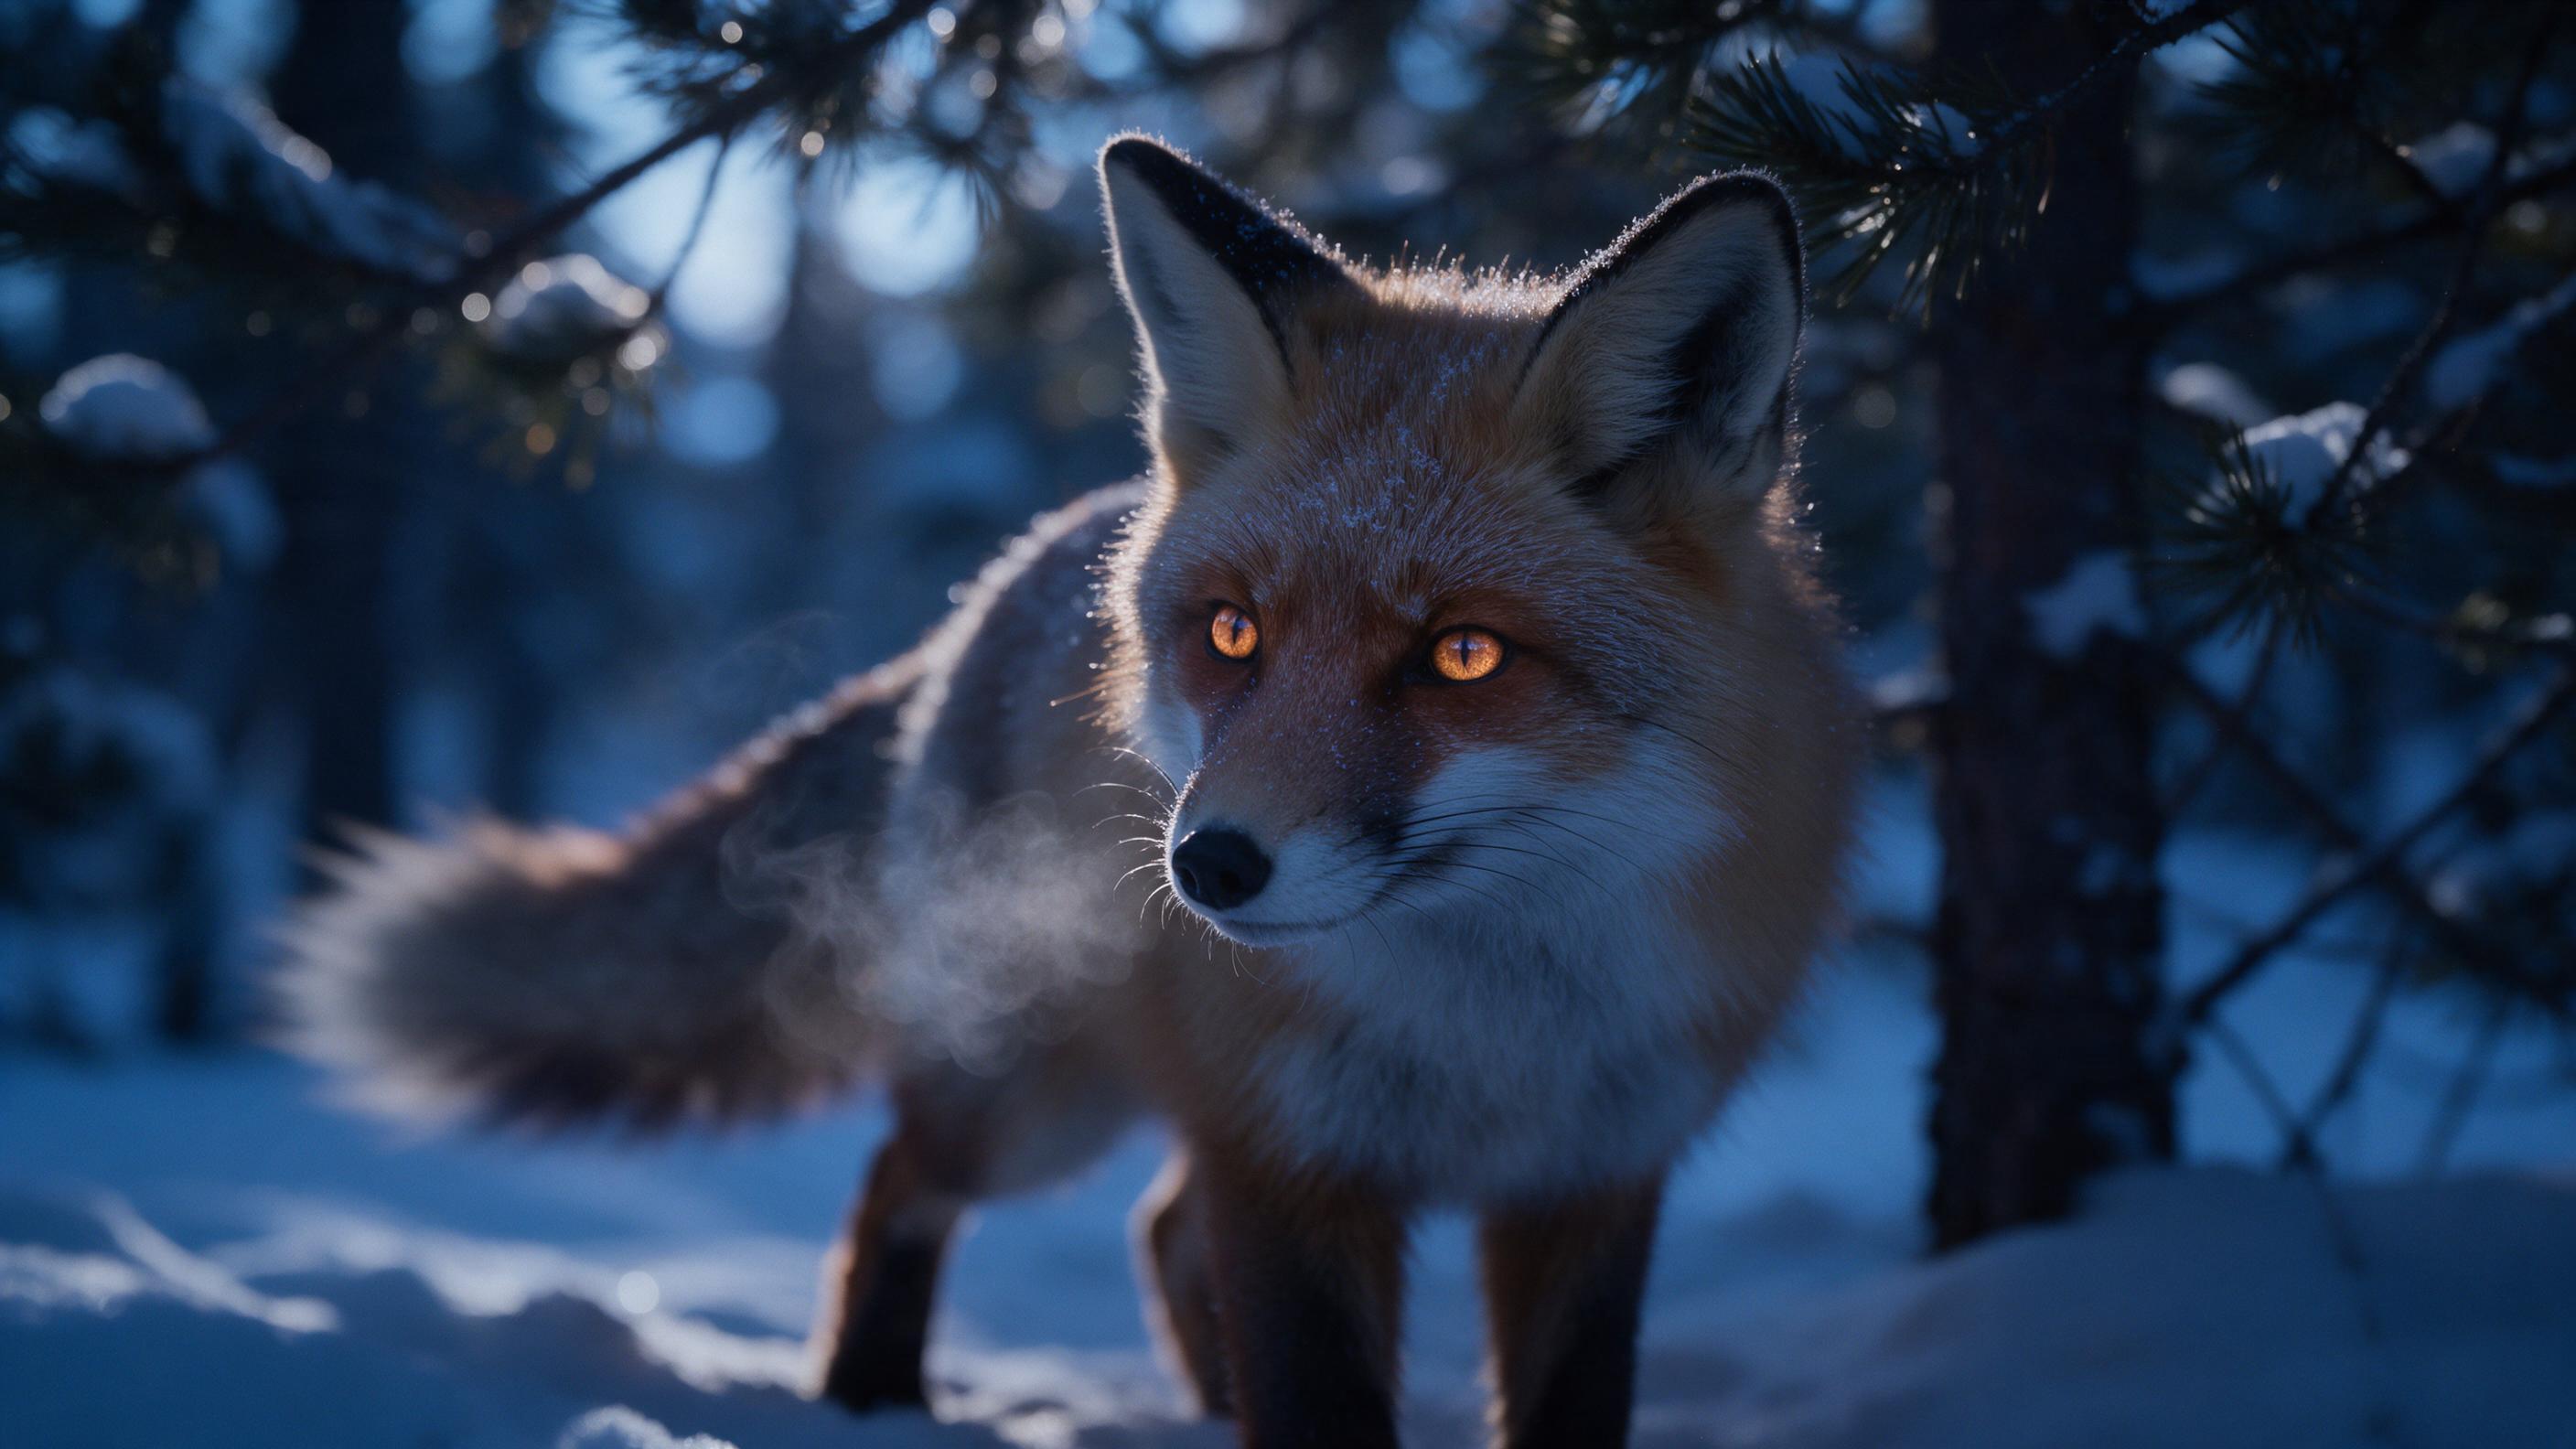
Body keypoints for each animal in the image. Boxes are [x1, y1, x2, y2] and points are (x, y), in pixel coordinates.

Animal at [277, 136, 1862, 1448]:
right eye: (1233, 635)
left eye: (1463, 655)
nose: (1211, 866)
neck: (1491, 1027)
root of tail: (1000, 580)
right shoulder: (1289, 1161)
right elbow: (1319, 1405)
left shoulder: (1590, 1181)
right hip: (1031, 1098)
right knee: (906, 1182)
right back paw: (873, 1405)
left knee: (1157, 1233)